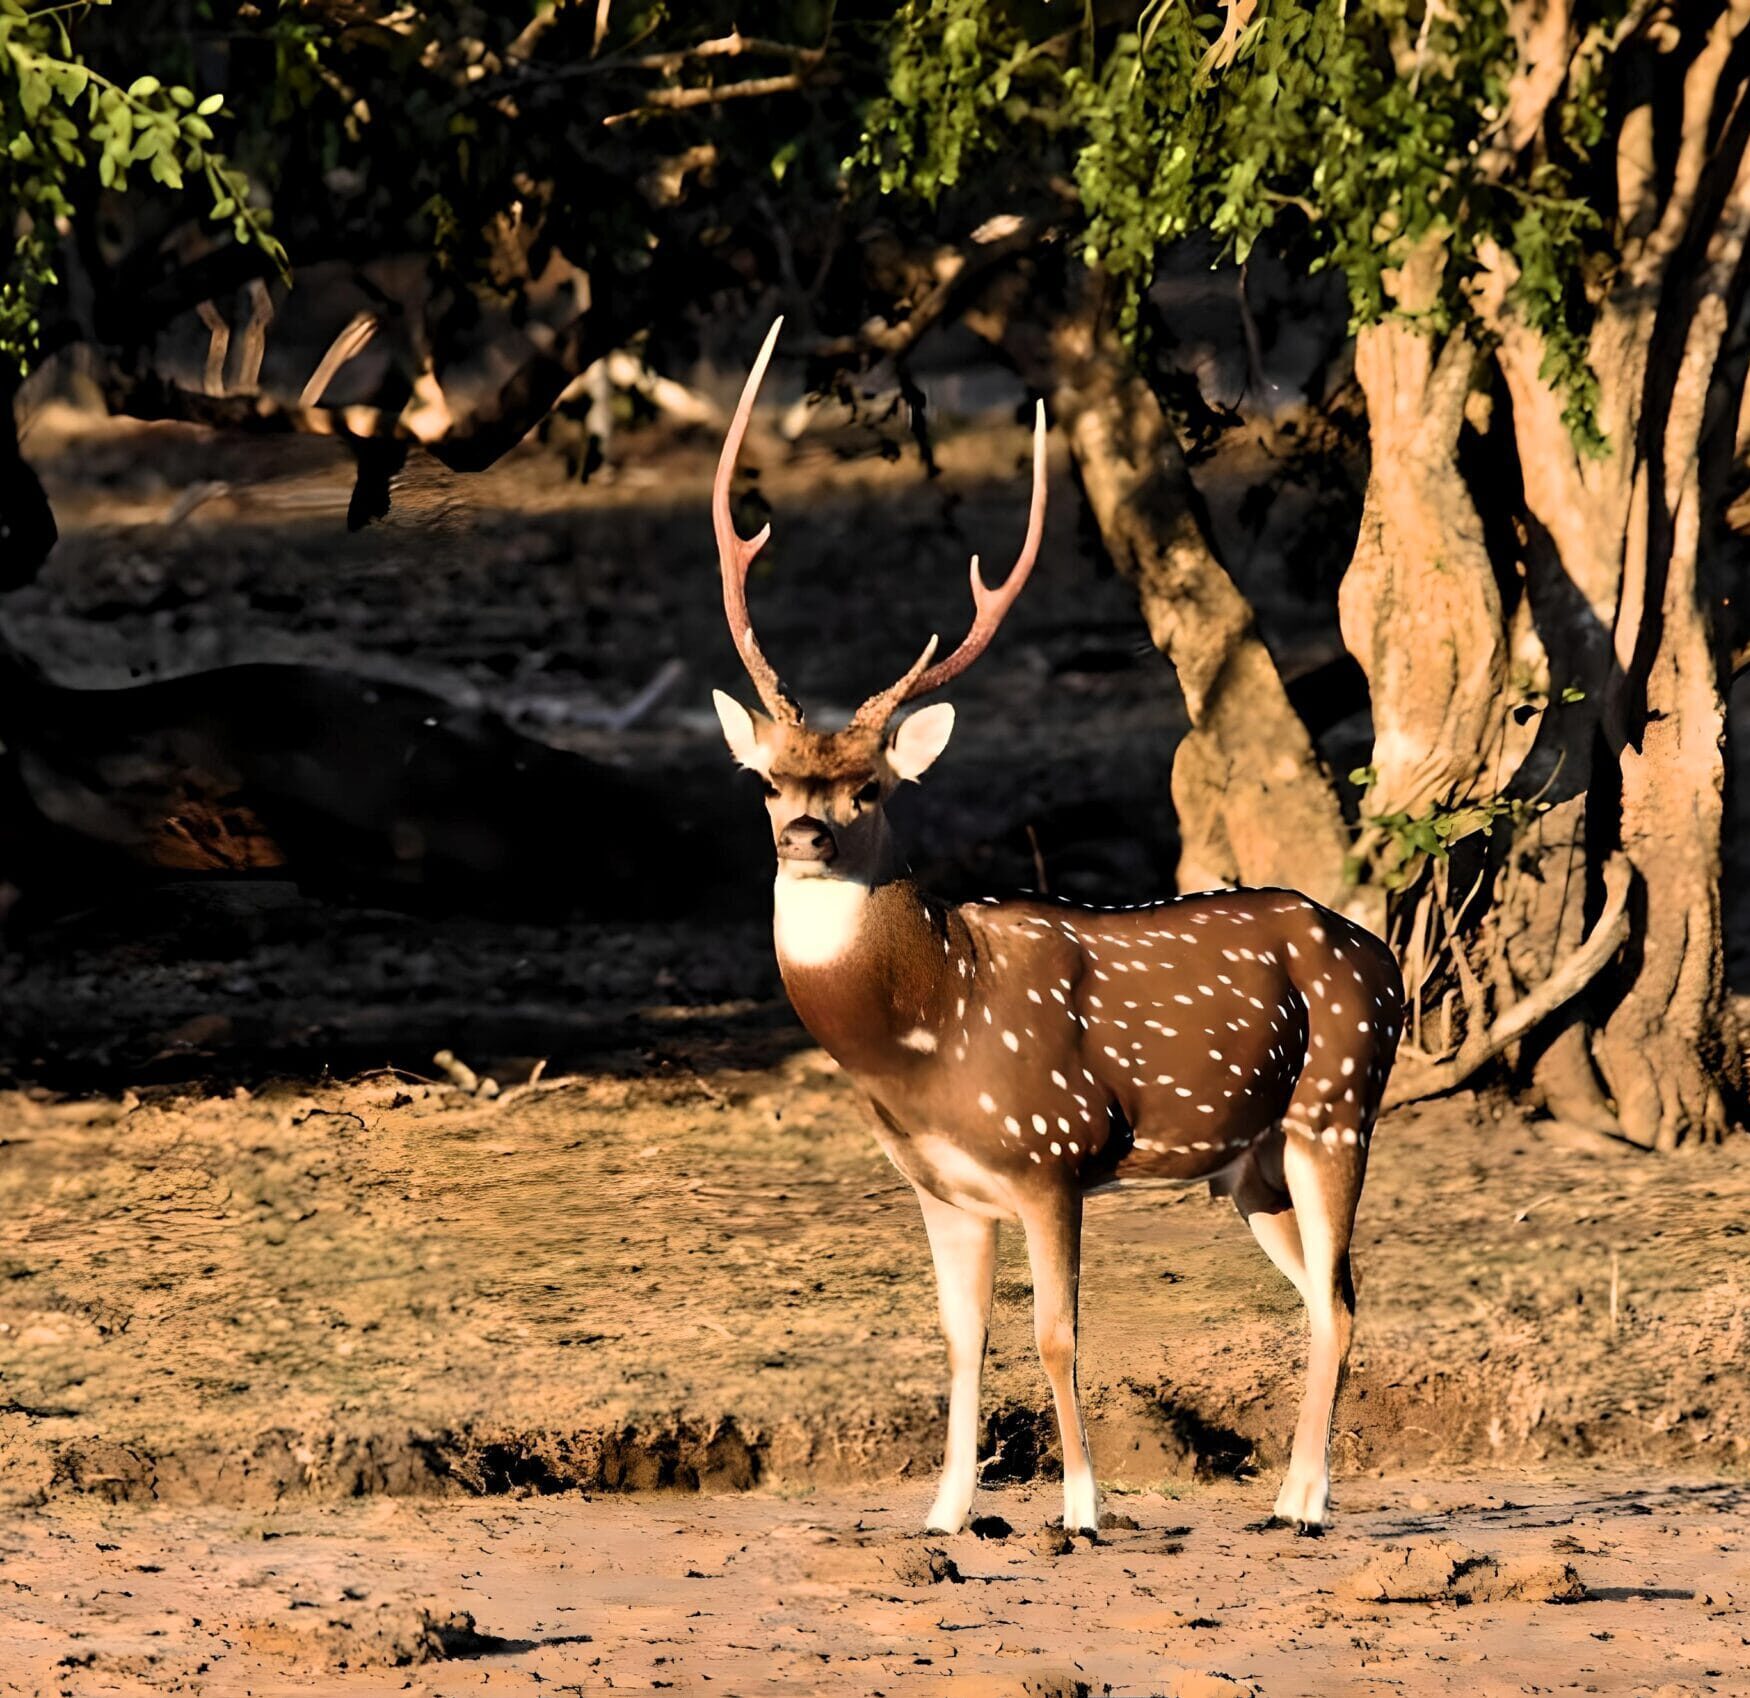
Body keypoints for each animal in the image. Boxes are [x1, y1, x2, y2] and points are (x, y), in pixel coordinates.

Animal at [708, 320, 1404, 1538]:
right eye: (767, 781)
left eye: (870, 787)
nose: (804, 833)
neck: (925, 1034)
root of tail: (1391, 960)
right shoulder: (941, 1187)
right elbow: (960, 1342)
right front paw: (942, 1515)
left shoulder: (1051, 1156)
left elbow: (1055, 1336)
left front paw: (1081, 1508)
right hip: (1252, 1164)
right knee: (1336, 1296)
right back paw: (1291, 1495)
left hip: (1337, 1104)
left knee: (1341, 1296)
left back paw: (1307, 1507)